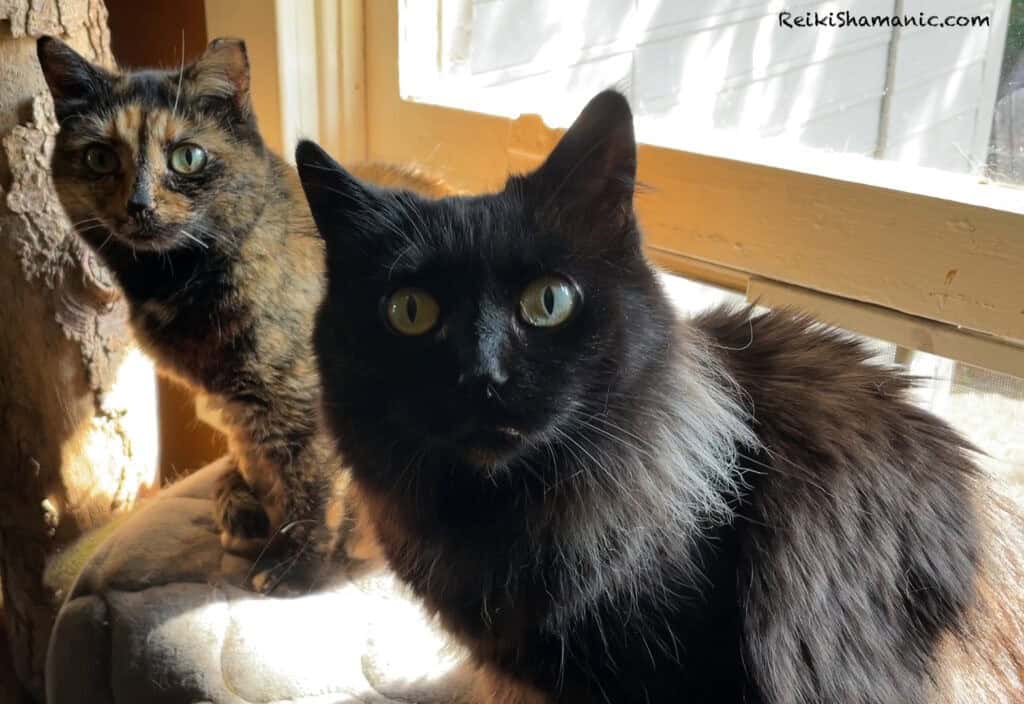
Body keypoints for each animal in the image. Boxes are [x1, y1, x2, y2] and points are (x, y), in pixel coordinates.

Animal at [37, 35, 446, 581]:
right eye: (99, 158)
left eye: (188, 157)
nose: (138, 205)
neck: (180, 281)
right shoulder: (239, 407)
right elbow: (261, 464)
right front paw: (257, 514)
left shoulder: (303, 401)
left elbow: (313, 489)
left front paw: (295, 569)